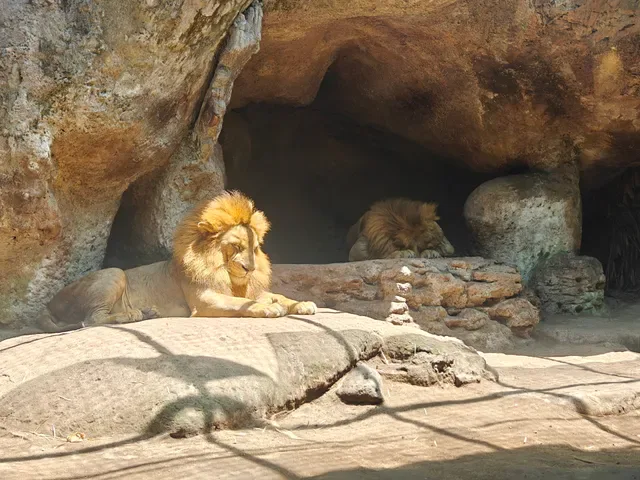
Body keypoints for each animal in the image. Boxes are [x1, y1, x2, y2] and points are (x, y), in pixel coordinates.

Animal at [37, 191, 317, 333]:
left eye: (255, 248)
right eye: (235, 247)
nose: (249, 268)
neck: (224, 271)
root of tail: (48, 305)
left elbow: (278, 296)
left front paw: (302, 304)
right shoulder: (204, 300)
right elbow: (240, 303)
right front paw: (267, 308)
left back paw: (147, 312)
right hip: (114, 273)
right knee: (91, 320)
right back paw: (130, 315)